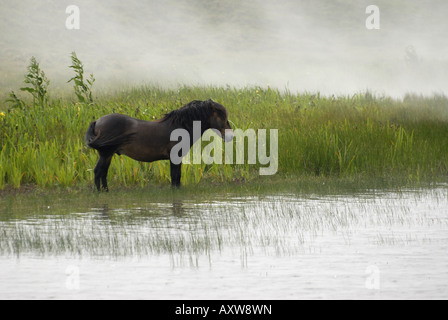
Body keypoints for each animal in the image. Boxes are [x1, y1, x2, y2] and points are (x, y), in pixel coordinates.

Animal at [86, 99, 234, 190]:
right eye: (221, 115)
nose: (230, 136)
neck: (179, 126)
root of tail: (97, 121)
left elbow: (176, 175)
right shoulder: (175, 156)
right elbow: (175, 176)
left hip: (108, 155)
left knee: (103, 173)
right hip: (106, 154)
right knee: (98, 171)